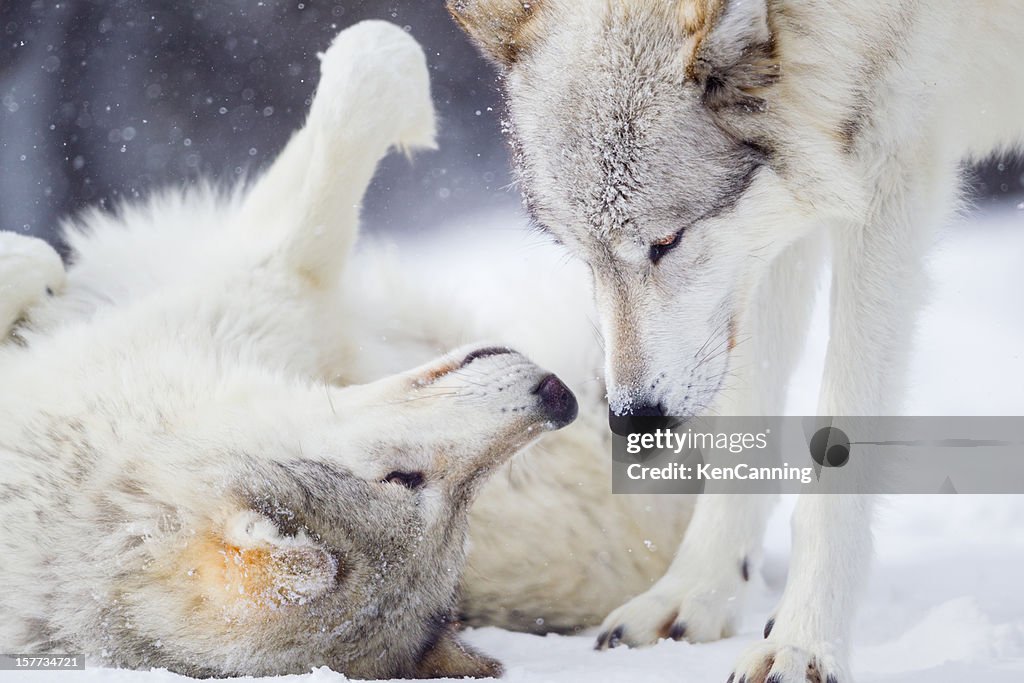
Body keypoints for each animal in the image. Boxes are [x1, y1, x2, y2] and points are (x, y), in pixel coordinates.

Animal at [2, 20, 696, 679]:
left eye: (461, 525)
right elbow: (370, 64)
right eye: (404, 480)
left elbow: (369, 59)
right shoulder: (262, 282)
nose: (557, 398)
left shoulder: (265, 283)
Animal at [452, 0, 1024, 679]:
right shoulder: (784, 216)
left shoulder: (890, 171)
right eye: (583, 256)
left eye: (666, 240)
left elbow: (840, 450)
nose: (632, 419)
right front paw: (694, 594)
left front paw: (803, 643)